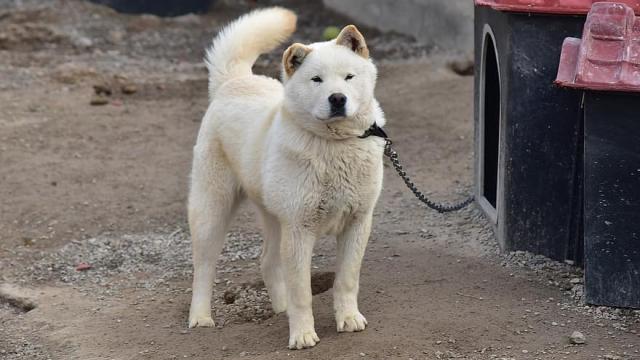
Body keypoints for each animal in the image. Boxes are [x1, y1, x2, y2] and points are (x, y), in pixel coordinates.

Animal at [185, 7, 384, 350]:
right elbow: (302, 291)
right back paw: (200, 317)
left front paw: (348, 319)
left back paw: (281, 309)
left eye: (349, 77)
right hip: (213, 212)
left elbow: (346, 280)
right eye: (316, 80)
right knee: (204, 267)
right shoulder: (299, 230)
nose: (337, 98)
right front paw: (302, 334)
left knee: (267, 261)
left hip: (274, 219)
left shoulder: (358, 222)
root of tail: (234, 81)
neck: (334, 145)